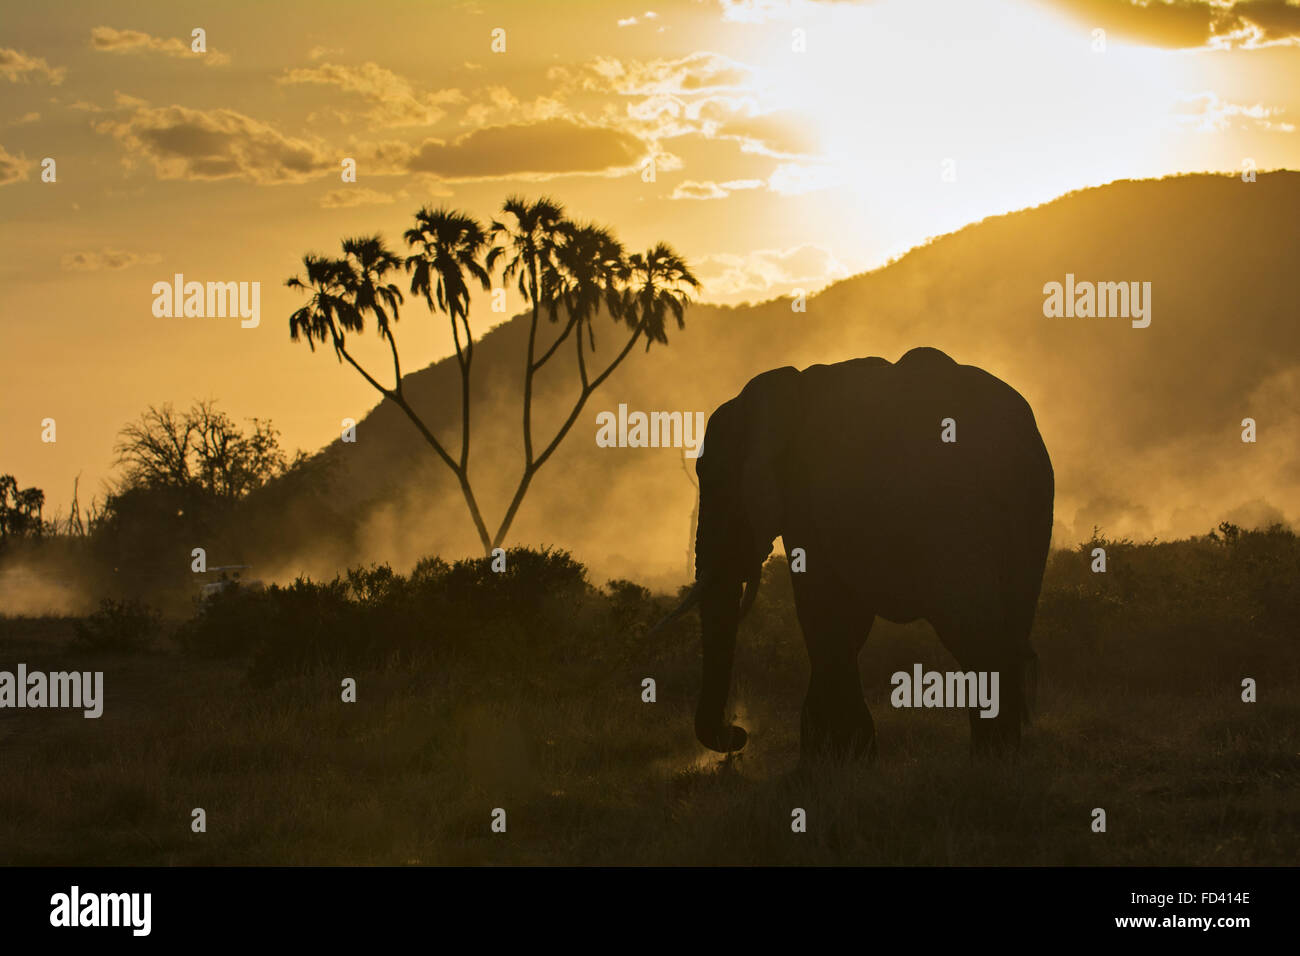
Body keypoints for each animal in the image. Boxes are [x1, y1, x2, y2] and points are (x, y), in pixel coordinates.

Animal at [660, 348, 1055, 764]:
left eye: (716, 479)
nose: (737, 734)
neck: (787, 387)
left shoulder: (805, 497)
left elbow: (825, 611)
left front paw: (832, 764)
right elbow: (846, 619)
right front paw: (845, 758)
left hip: (951, 511)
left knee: (972, 631)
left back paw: (989, 762)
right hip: (1031, 508)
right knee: (1011, 627)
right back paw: (1002, 756)